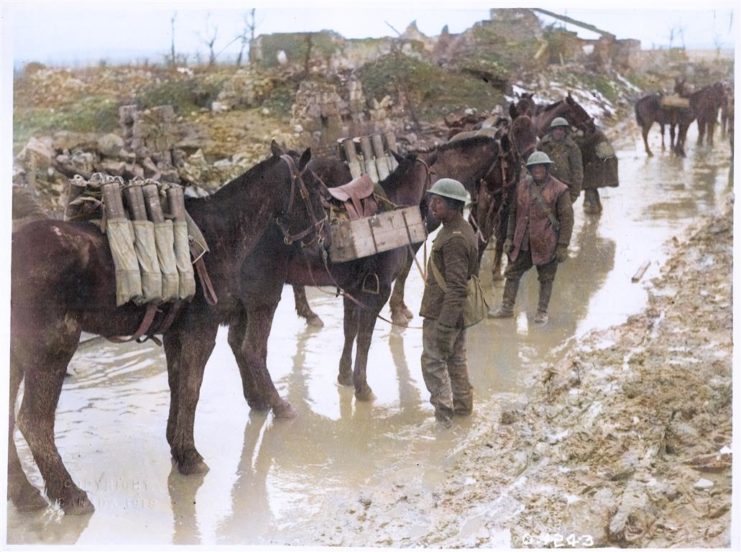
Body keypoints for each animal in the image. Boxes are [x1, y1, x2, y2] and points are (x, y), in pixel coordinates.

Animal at [7, 142, 326, 512]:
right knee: (33, 422)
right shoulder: (201, 331)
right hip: (52, 351)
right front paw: (190, 457)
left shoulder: (176, 334)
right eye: (314, 188)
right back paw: (69, 494)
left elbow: (177, 386)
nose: (321, 235)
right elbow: (191, 389)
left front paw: (178, 448)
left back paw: (24, 493)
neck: (221, 236)